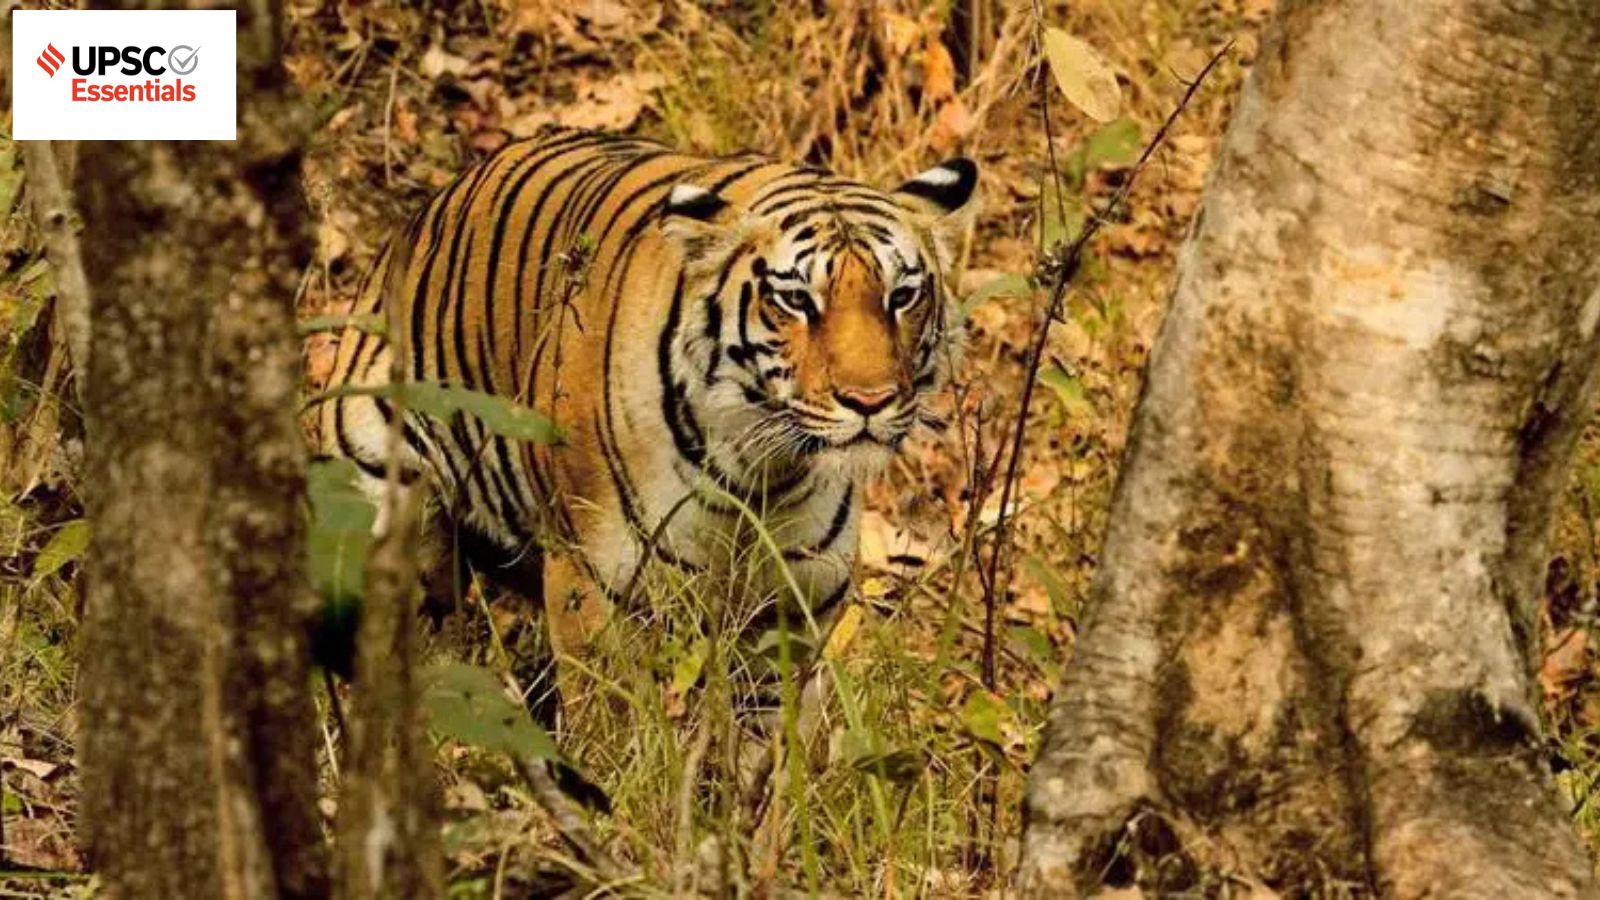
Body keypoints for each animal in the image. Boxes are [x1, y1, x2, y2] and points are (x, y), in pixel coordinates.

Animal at [317, 127, 978, 679]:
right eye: (795, 299)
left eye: (902, 295)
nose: (871, 400)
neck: (761, 476)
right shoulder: (590, 583)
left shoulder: (794, 610)